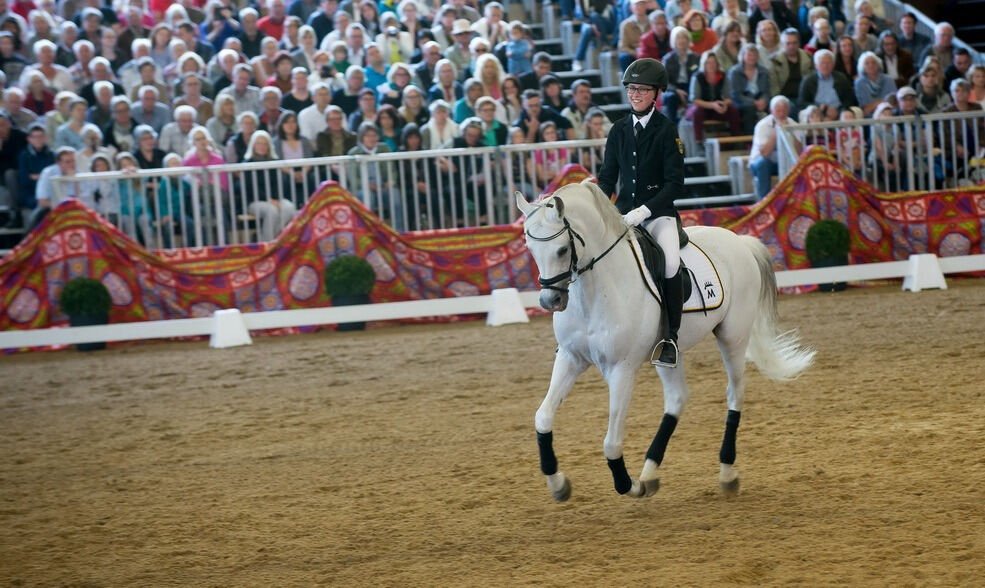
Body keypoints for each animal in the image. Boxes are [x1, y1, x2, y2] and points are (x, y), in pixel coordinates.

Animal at [516, 183, 816, 500]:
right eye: (530, 249)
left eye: (562, 249)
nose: (550, 301)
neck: (596, 291)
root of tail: (739, 240)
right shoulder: (570, 358)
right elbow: (542, 417)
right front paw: (558, 483)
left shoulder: (621, 369)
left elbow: (611, 442)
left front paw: (629, 485)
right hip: (668, 352)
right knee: (677, 398)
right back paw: (650, 473)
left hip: (733, 336)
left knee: (735, 393)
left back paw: (726, 472)